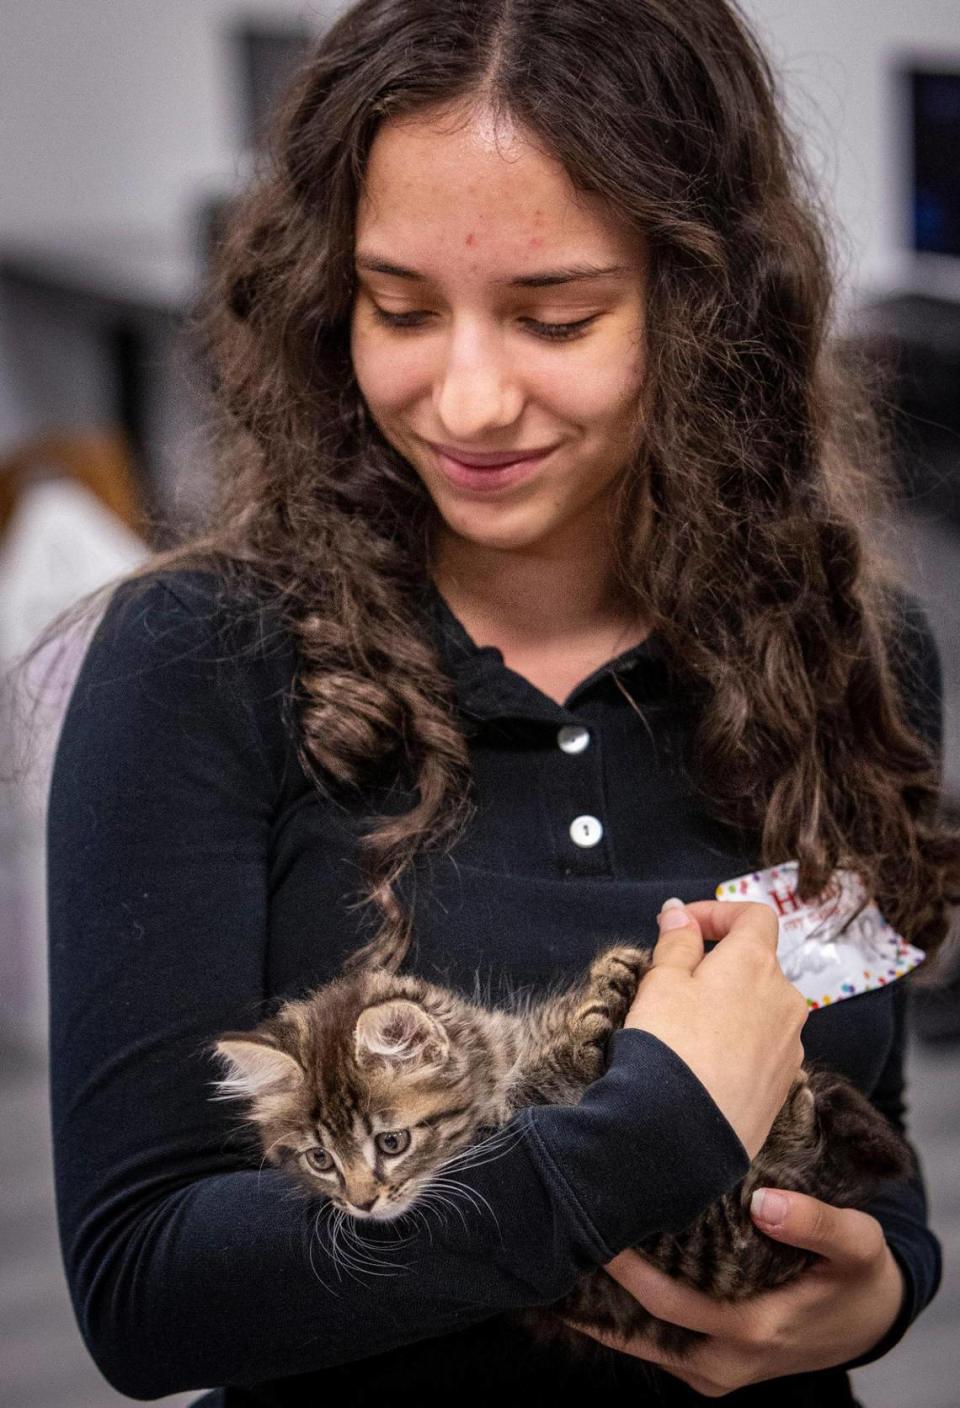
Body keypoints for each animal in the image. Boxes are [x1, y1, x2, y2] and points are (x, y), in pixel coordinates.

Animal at [211, 946, 912, 1351]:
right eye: (320, 1161)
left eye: (391, 1142)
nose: (362, 1205)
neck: (493, 1070)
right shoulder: (511, 1126)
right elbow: (549, 1077)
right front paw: (586, 1021)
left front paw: (615, 976)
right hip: (710, 1245)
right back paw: (795, 1114)